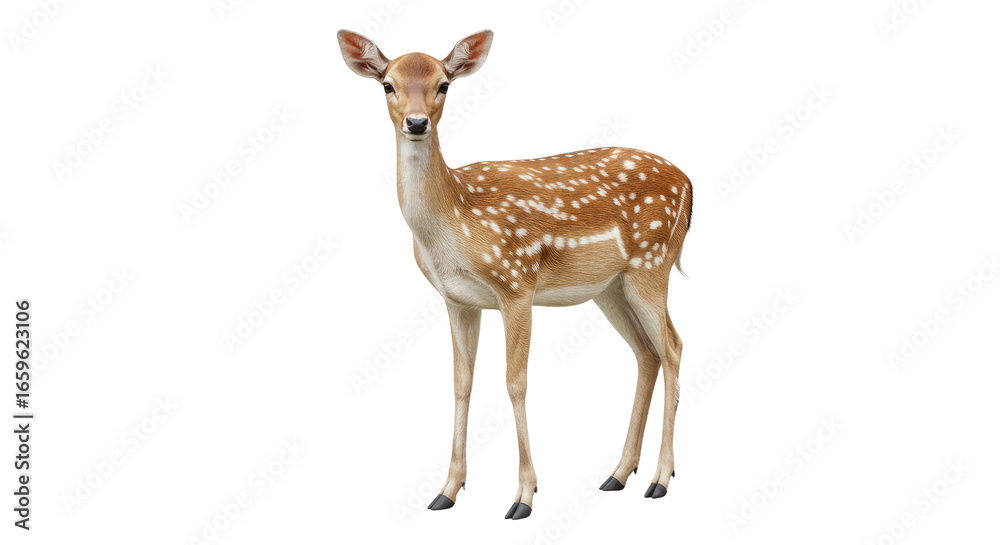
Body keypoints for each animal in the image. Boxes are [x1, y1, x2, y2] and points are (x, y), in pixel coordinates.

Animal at [338, 29, 693, 520]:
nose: (416, 122)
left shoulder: (517, 282)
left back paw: (660, 479)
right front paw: (446, 490)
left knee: (674, 346)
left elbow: (515, 382)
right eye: (387, 84)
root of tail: (689, 184)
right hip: (610, 287)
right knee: (647, 353)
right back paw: (618, 474)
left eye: (444, 84)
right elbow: (461, 384)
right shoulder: (457, 300)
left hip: (652, 263)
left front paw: (524, 496)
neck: (454, 220)